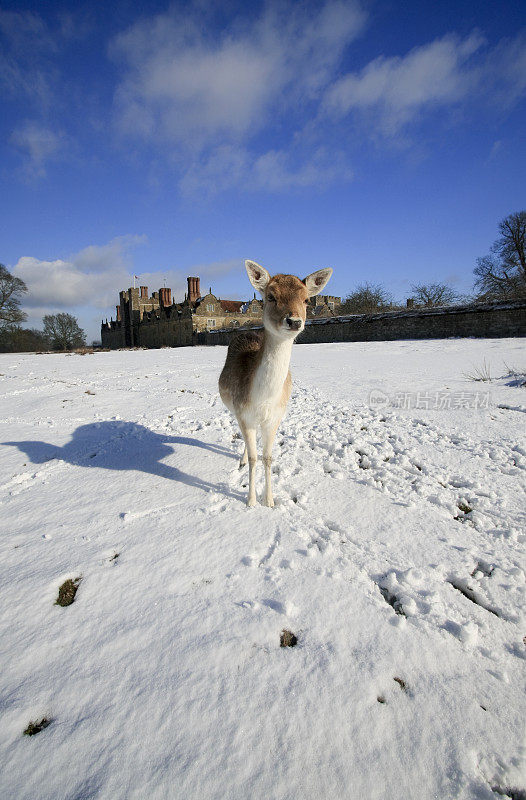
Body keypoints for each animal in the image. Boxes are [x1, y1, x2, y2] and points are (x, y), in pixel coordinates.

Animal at [219, 260, 334, 506]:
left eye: (306, 299)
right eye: (270, 296)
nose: (294, 321)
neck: (263, 400)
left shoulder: (274, 419)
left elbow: (268, 457)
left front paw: (269, 500)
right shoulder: (244, 414)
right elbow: (255, 458)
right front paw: (251, 501)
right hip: (233, 409)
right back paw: (241, 460)